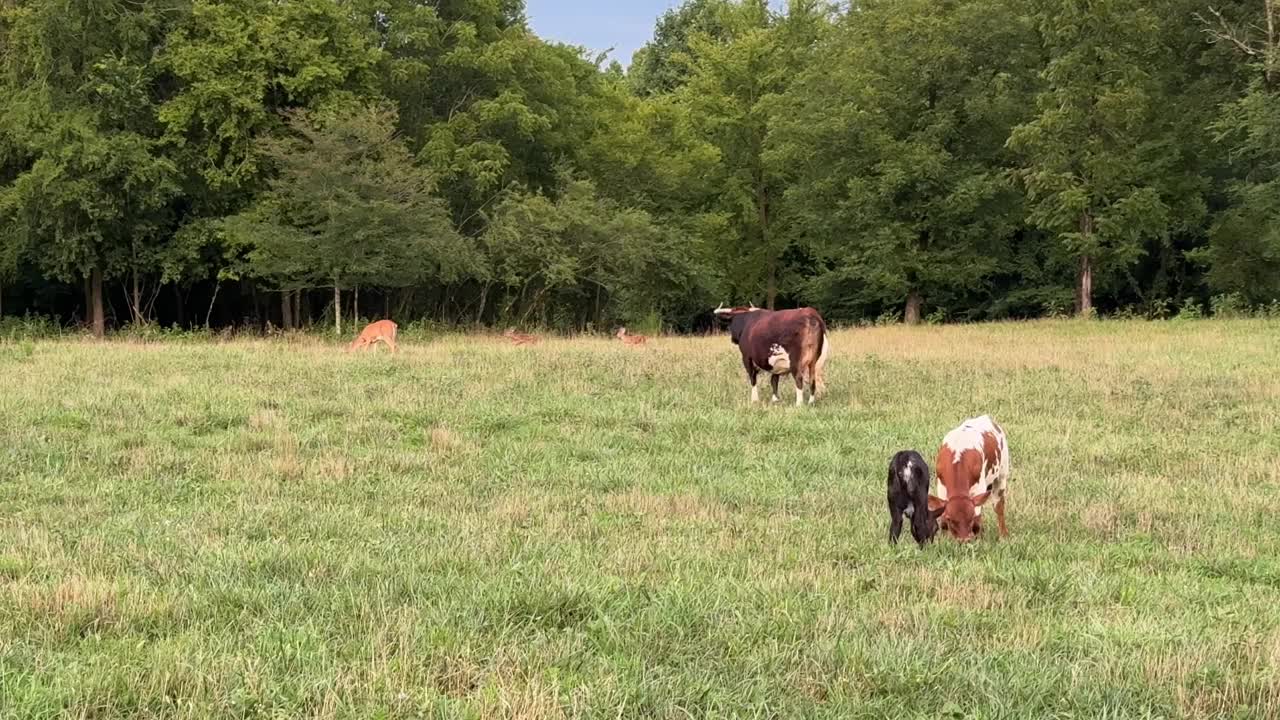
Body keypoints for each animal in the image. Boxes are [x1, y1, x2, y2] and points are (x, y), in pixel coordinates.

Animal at [931, 412, 1008, 540]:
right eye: (950, 519)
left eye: (971, 518)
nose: (964, 540)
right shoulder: (941, 487)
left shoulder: (979, 488)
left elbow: (978, 516)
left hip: (1002, 475)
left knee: (999, 505)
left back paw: (1003, 535)